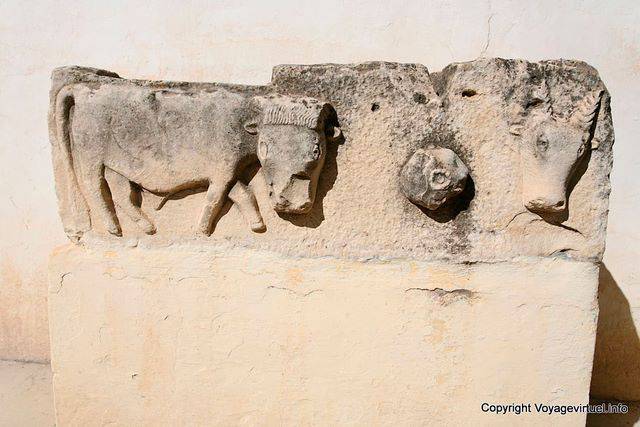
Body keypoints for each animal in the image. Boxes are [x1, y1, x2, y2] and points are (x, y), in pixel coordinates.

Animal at [49, 67, 340, 240]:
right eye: (265, 148)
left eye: (317, 150)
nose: (289, 200)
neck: (245, 120)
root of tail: (81, 88)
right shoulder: (222, 168)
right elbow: (215, 198)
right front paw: (202, 230)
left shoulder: (230, 170)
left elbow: (242, 194)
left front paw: (257, 225)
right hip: (91, 153)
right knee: (93, 187)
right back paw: (112, 227)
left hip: (118, 162)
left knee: (120, 192)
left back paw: (146, 226)